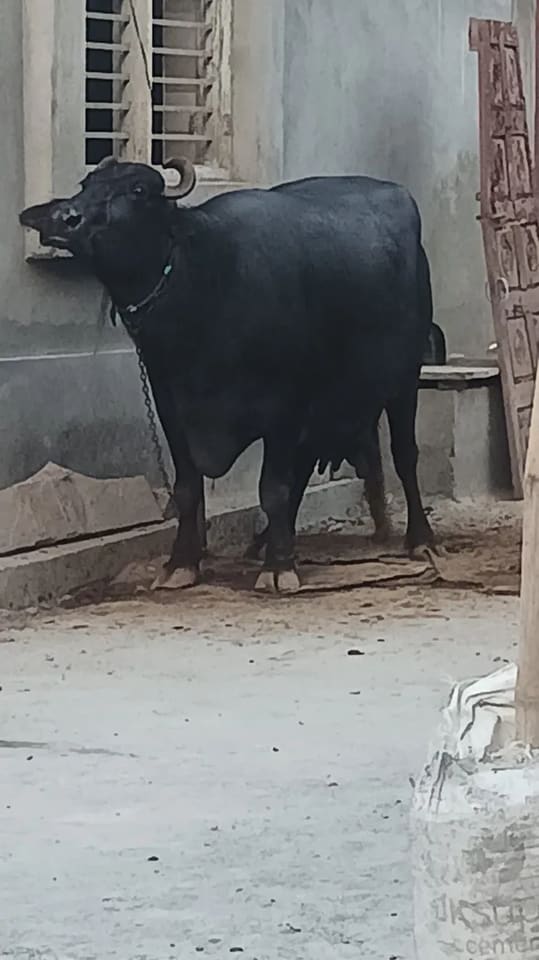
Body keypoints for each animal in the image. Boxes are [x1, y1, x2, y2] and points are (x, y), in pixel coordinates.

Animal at [20, 157, 435, 593]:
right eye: (86, 185)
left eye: (138, 191)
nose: (66, 218)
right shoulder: (171, 404)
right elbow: (188, 489)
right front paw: (181, 563)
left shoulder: (285, 406)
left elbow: (273, 487)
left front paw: (279, 569)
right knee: (305, 467)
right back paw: (266, 541)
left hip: (405, 378)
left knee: (404, 455)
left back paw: (420, 539)